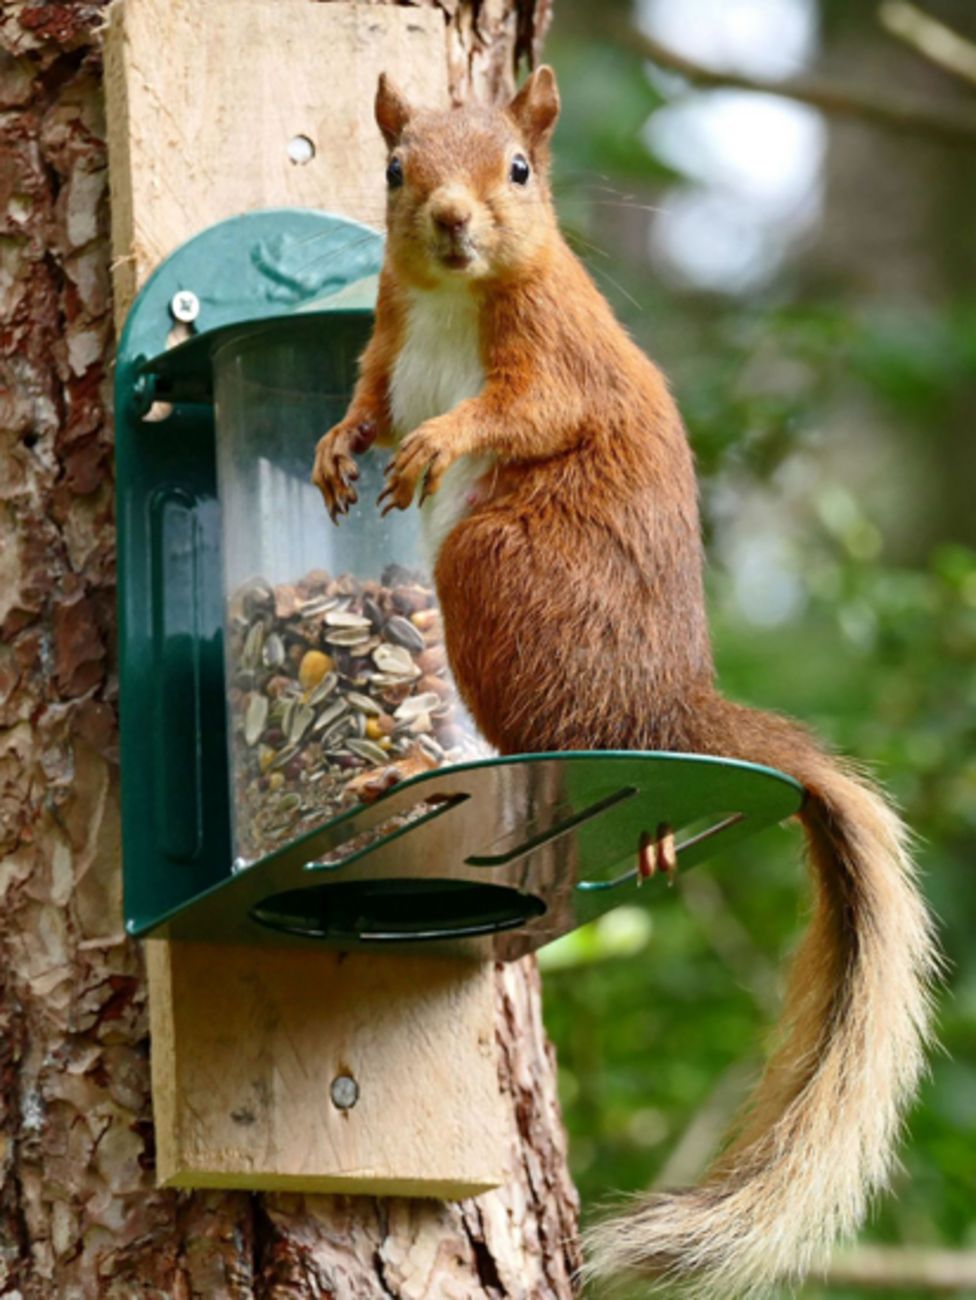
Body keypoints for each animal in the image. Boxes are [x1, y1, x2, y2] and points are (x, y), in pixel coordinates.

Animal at [313, 68, 940, 1300]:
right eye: (396, 169)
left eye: (518, 168)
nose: (451, 220)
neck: (460, 296)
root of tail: (664, 708)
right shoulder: (388, 339)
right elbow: (368, 397)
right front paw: (338, 444)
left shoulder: (557, 355)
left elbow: (522, 411)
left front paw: (440, 440)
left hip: (497, 568)